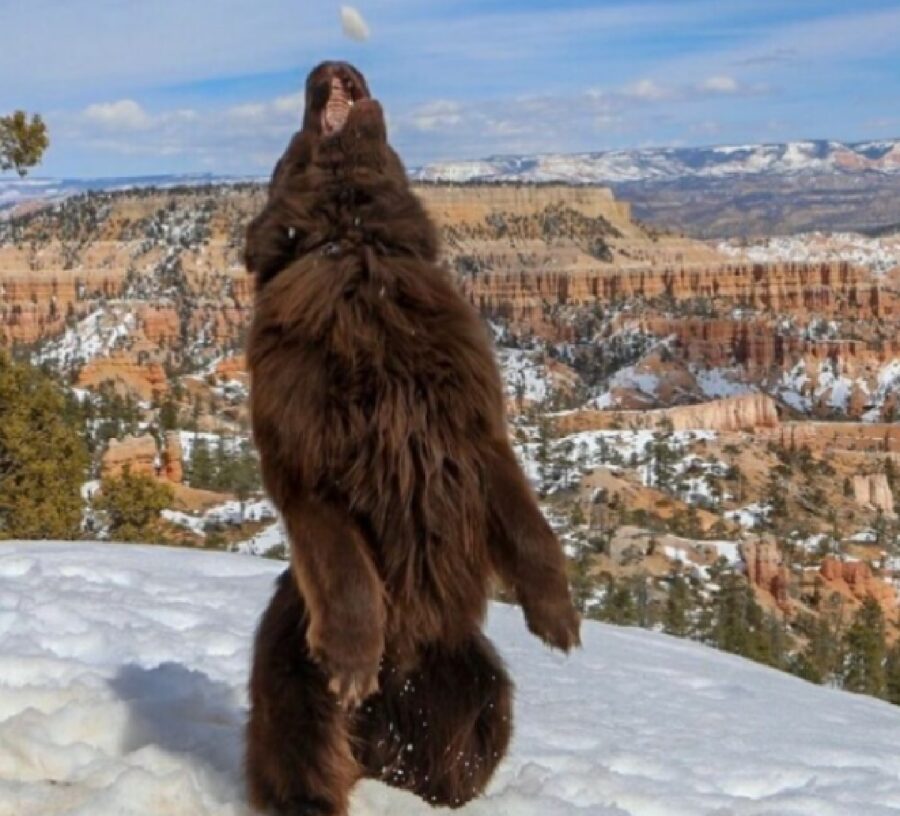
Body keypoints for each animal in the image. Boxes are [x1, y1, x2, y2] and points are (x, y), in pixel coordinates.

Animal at [243, 63, 580, 816]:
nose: (327, 63)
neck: (356, 249)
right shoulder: (306, 469)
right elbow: (348, 574)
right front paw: (351, 660)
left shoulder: (477, 436)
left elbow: (531, 530)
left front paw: (558, 618)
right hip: (291, 684)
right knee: (309, 767)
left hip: (480, 684)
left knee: (449, 767)